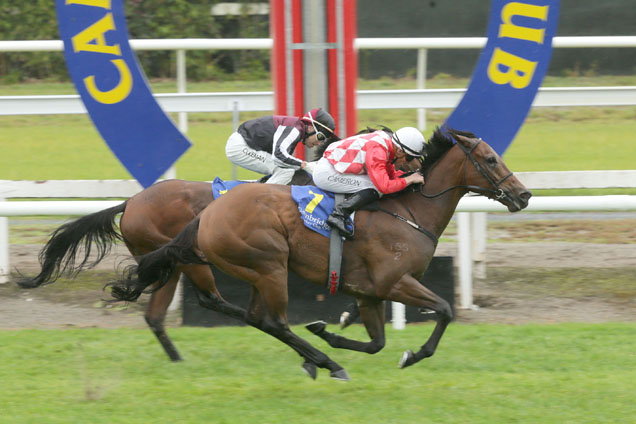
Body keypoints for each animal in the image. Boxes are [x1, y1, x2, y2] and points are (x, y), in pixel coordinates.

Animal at [16, 171, 312, 360]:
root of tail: (130, 202)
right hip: (183, 255)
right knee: (208, 298)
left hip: (163, 262)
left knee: (155, 315)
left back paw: (177, 358)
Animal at [108, 127, 532, 380]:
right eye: (491, 159)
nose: (524, 195)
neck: (409, 211)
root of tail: (208, 214)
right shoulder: (395, 282)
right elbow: (443, 310)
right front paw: (412, 354)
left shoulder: (369, 292)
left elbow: (376, 342)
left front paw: (330, 328)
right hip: (268, 265)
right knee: (273, 322)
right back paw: (327, 363)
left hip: (250, 270)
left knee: (254, 318)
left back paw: (315, 357)